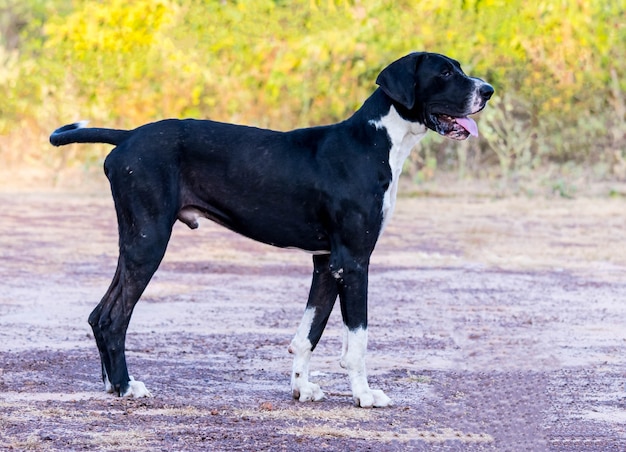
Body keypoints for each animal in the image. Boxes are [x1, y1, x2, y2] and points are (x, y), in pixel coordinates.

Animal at [51, 51, 490, 408]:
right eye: (445, 72)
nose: (488, 90)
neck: (375, 141)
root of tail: (127, 136)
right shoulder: (355, 261)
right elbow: (357, 340)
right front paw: (364, 395)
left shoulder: (326, 263)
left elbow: (308, 332)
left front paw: (302, 388)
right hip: (149, 241)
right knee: (114, 317)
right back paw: (127, 387)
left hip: (135, 241)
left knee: (99, 314)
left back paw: (112, 385)